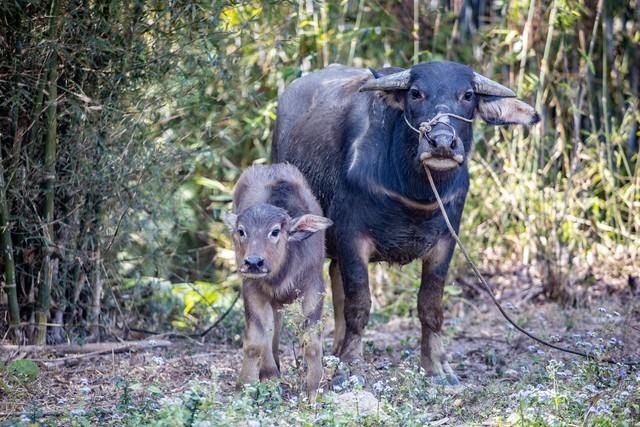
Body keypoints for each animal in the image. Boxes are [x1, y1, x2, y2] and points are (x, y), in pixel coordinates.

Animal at [225, 163, 332, 402]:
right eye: (241, 231)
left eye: (275, 231)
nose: (254, 262)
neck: (281, 272)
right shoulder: (252, 288)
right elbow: (257, 341)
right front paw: (244, 387)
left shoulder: (314, 286)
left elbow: (311, 341)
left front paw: (313, 390)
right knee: (270, 332)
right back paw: (271, 374)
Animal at [272, 61, 540, 384]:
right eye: (416, 93)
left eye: (467, 95)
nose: (442, 143)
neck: (414, 192)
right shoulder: (352, 237)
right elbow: (359, 304)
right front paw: (351, 364)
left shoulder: (445, 242)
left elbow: (430, 305)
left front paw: (436, 365)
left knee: (335, 276)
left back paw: (335, 349)